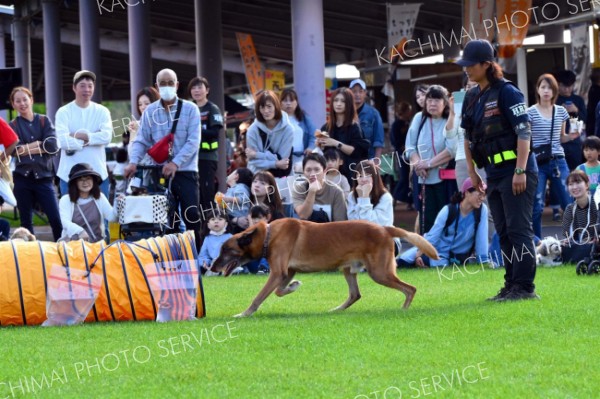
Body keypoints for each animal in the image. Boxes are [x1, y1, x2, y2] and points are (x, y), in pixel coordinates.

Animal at [213, 219, 438, 318]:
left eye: (225, 249)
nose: (212, 267)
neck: (269, 234)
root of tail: (385, 228)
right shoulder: (287, 272)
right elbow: (279, 291)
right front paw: (293, 287)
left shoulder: (278, 273)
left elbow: (259, 297)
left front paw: (244, 314)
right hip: (349, 270)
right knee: (355, 295)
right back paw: (335, 310)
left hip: (380, 273)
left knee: (410, 289)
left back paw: (404, 309)